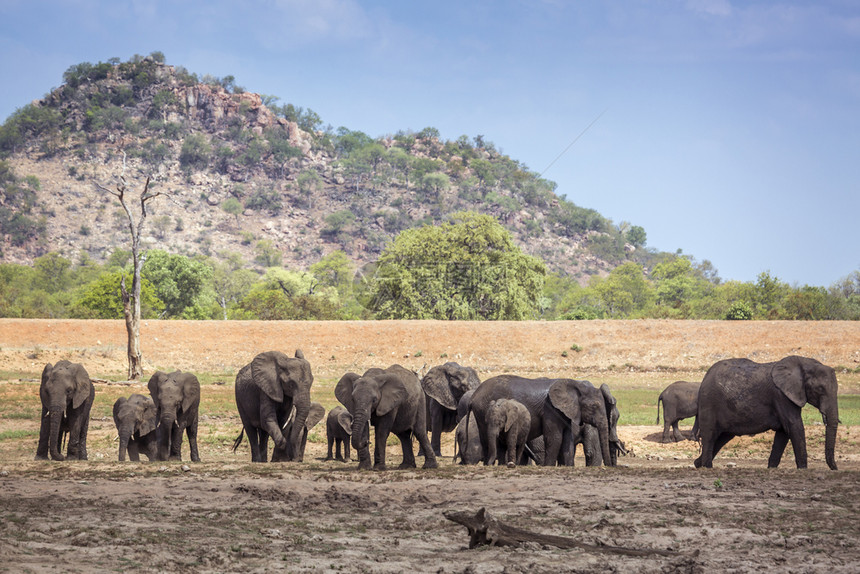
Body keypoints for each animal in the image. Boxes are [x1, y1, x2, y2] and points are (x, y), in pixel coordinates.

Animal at [466, 378, 616, 468]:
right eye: (594, 406)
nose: (609, 466)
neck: (574, 384)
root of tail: (474, 396)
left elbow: (567, 440)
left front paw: (566, 467)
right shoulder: (550, 409)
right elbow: (555, 438)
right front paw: (548, 466)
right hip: (483, 411)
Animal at [692, 356, 840, 472]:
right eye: (819, 389)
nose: (836, 468)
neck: (804, 363)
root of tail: (705, 378)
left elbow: (783, 432)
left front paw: (771, 468)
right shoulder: (781, 396)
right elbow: (794, 425)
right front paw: (803, 469)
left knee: (722, 437)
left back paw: (697, 464)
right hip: (709, 402)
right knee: (710, 436)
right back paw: (707, 467)